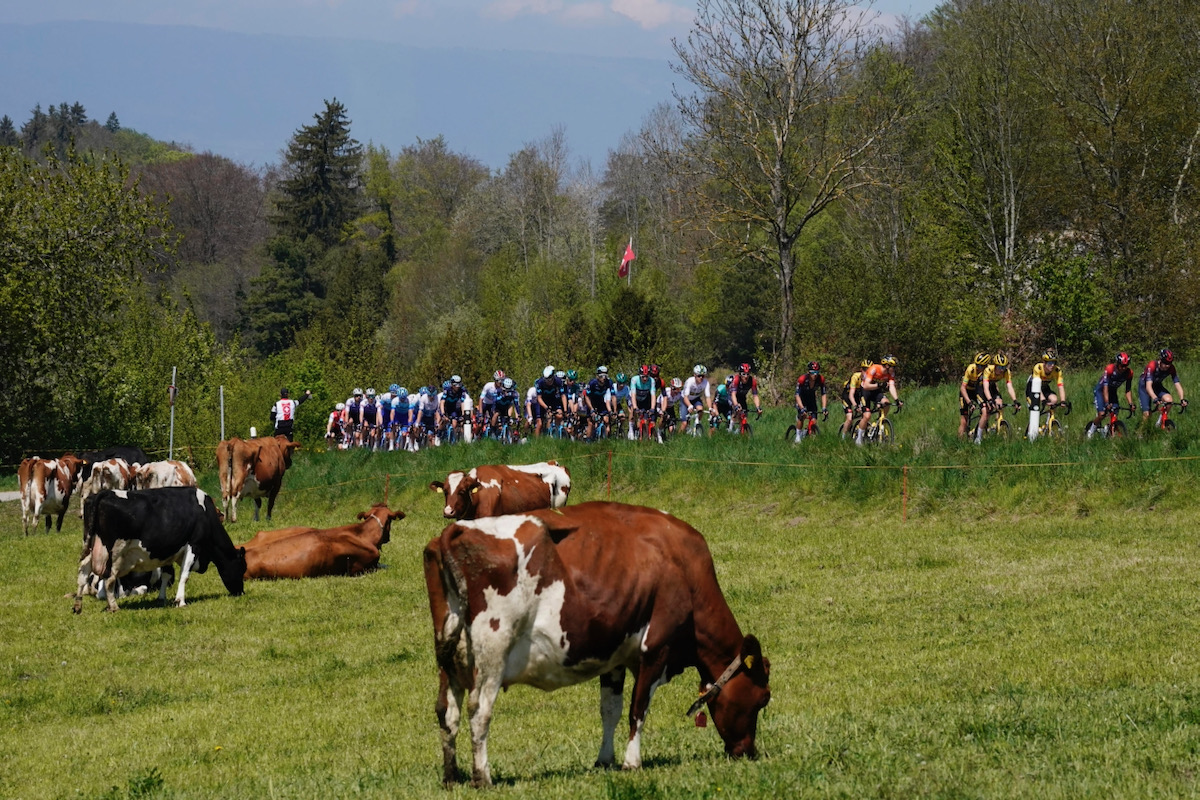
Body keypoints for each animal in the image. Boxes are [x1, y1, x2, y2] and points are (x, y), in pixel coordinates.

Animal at [72, 489, 246, 614]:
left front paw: (162, 598)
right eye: (242, 568)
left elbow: (167, 574)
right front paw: (180, 601)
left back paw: (77, 606)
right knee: (109, 578)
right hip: (114, 552)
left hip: (90, 546)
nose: (241, 592)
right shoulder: (193, 545)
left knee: (83, 574)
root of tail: (104, 493)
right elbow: (184, 575)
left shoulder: (166, 551)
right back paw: (114, 607)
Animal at [422, 501, 768, 786]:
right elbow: (638, 709)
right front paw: (632, 762)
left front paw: (605, 760)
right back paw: (483, 777)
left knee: (447, 711)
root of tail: (456, 529)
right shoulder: (656, 648)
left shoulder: (614, 656)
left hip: (449, 659)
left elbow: (610, 710)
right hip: (492, 653)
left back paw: (452, 777)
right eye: (762, 699)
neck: (684, 568)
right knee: (479, 711)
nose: (748, 752)